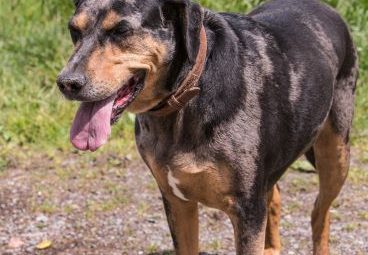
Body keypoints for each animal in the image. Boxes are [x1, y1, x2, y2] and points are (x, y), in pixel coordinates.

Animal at [56, 0, 358, 253]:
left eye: (121, 30)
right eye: (74, 30)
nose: (67, 83)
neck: (187, 92)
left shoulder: (248, 212)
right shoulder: (177, 203)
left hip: (336, 155)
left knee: (319, 212)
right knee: (276, 197)